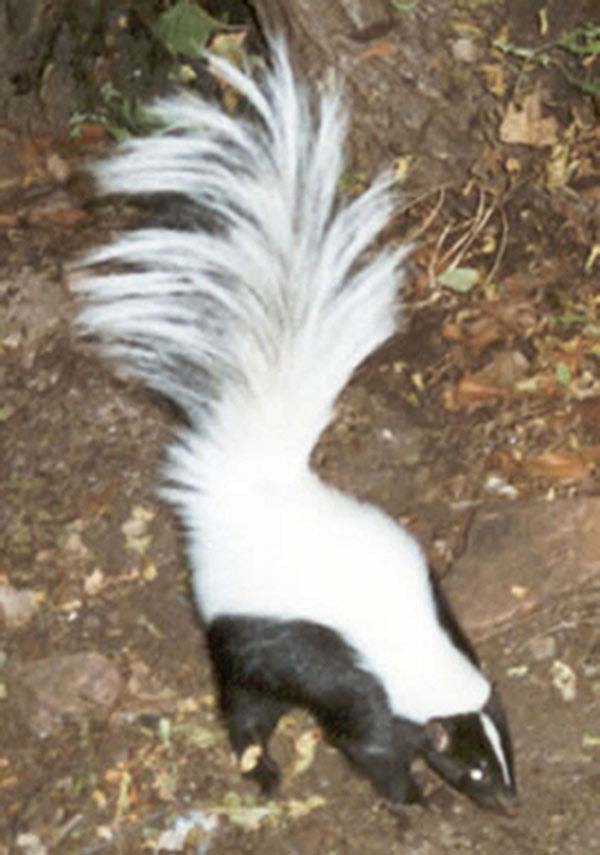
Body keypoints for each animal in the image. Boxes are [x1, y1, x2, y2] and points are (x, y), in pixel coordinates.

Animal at [75, 40, 516, 816]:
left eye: (504, 754)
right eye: (470, 769)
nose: (509, 802)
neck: (413, 649)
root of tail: (251, 479)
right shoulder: (353, 681)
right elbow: (368, 745)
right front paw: (409, 798)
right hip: (245, 637)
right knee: (244, 705)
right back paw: (262, 768)